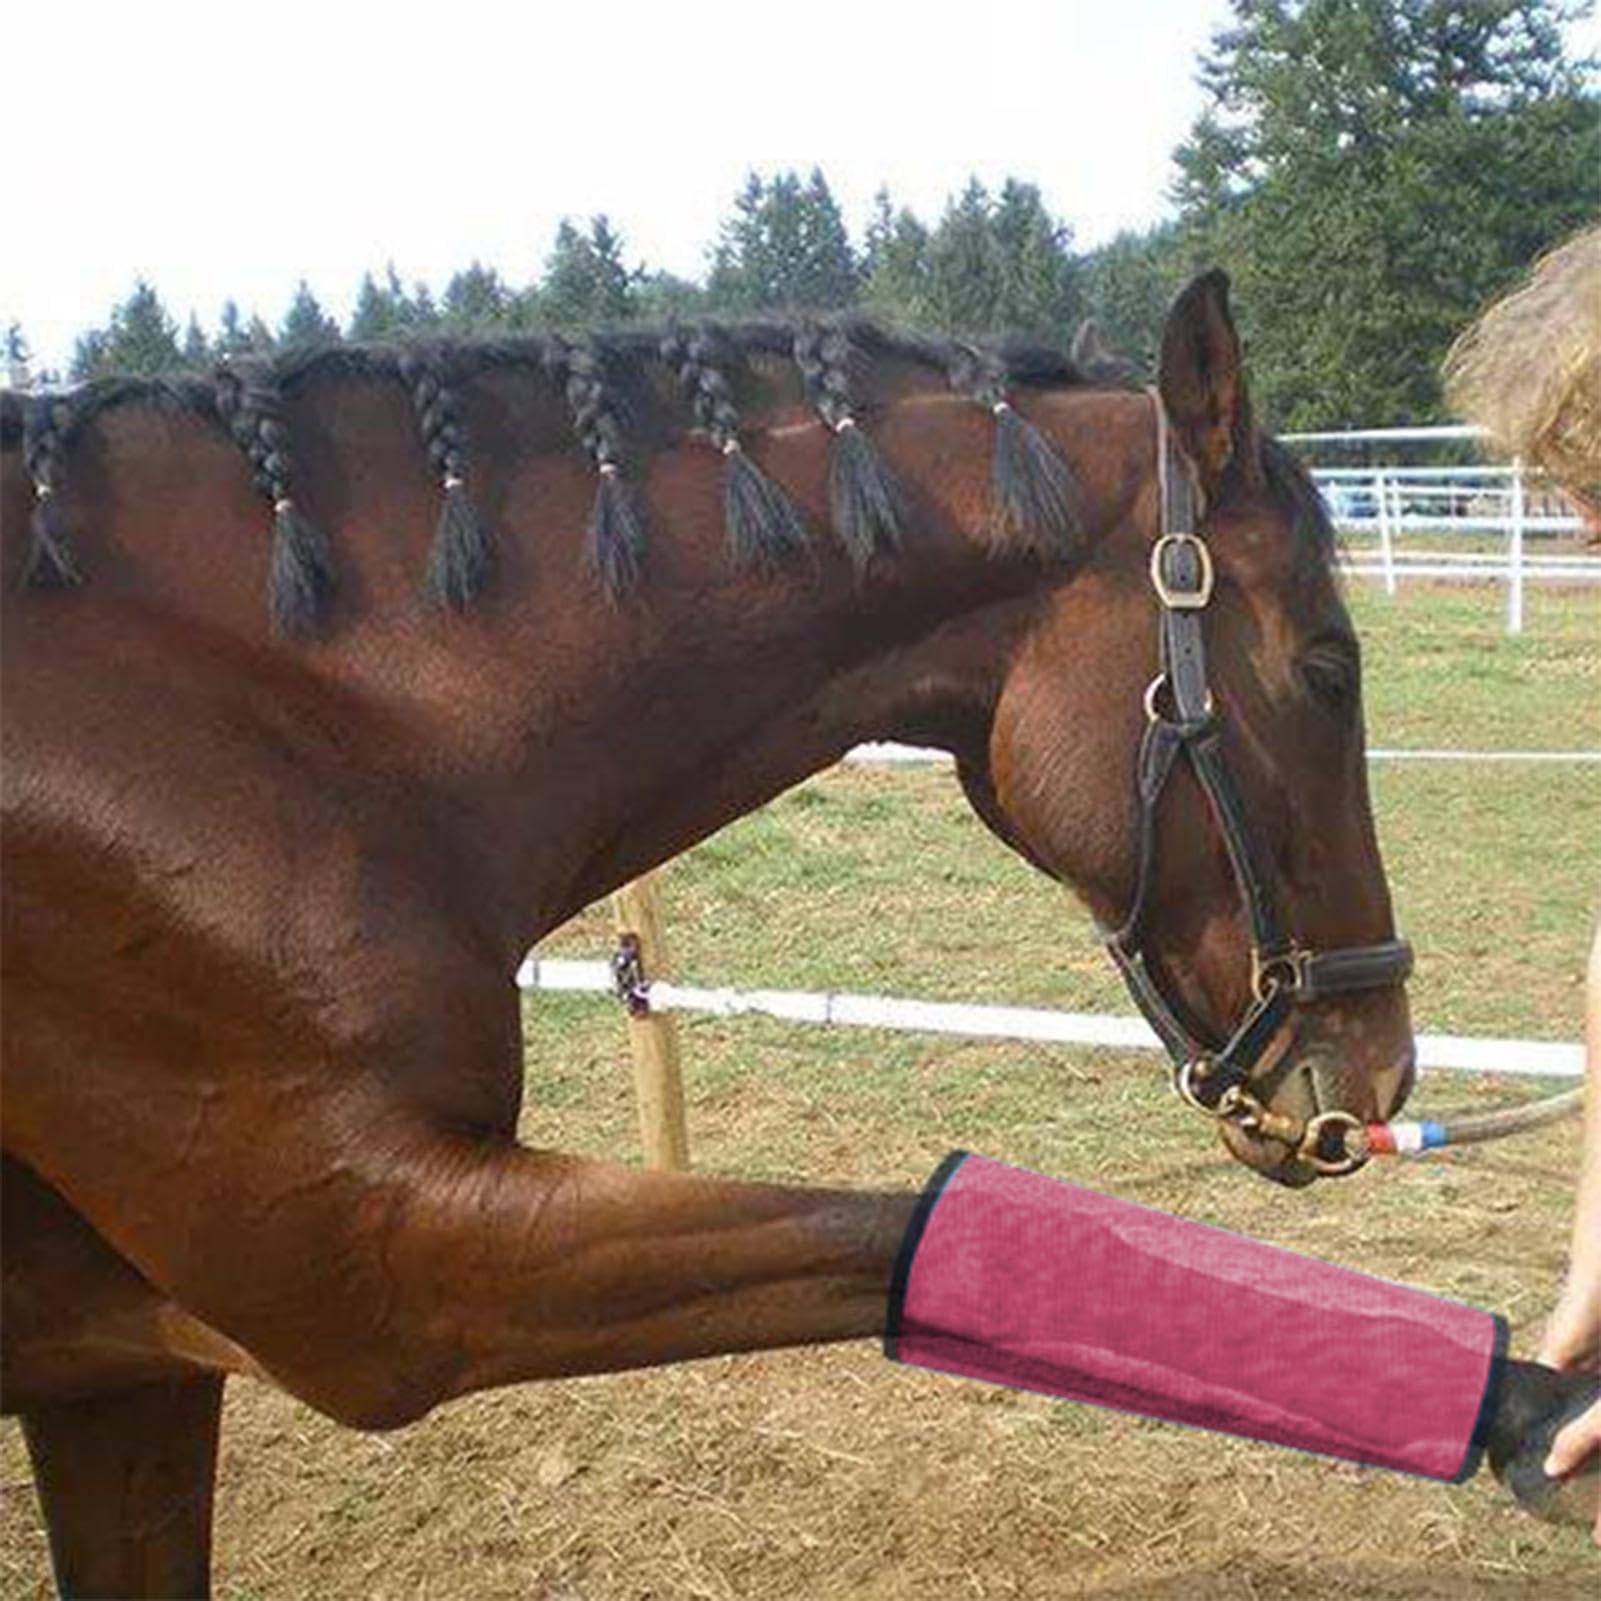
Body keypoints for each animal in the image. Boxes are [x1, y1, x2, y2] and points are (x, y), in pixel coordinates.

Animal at [0, 270, 1558, 1597]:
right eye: (1327, 666)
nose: (1378, 1068)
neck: (254, 720)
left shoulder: (123, 1377)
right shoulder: (383, 1274)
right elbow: (977, 1240)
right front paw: (1520, 1399)